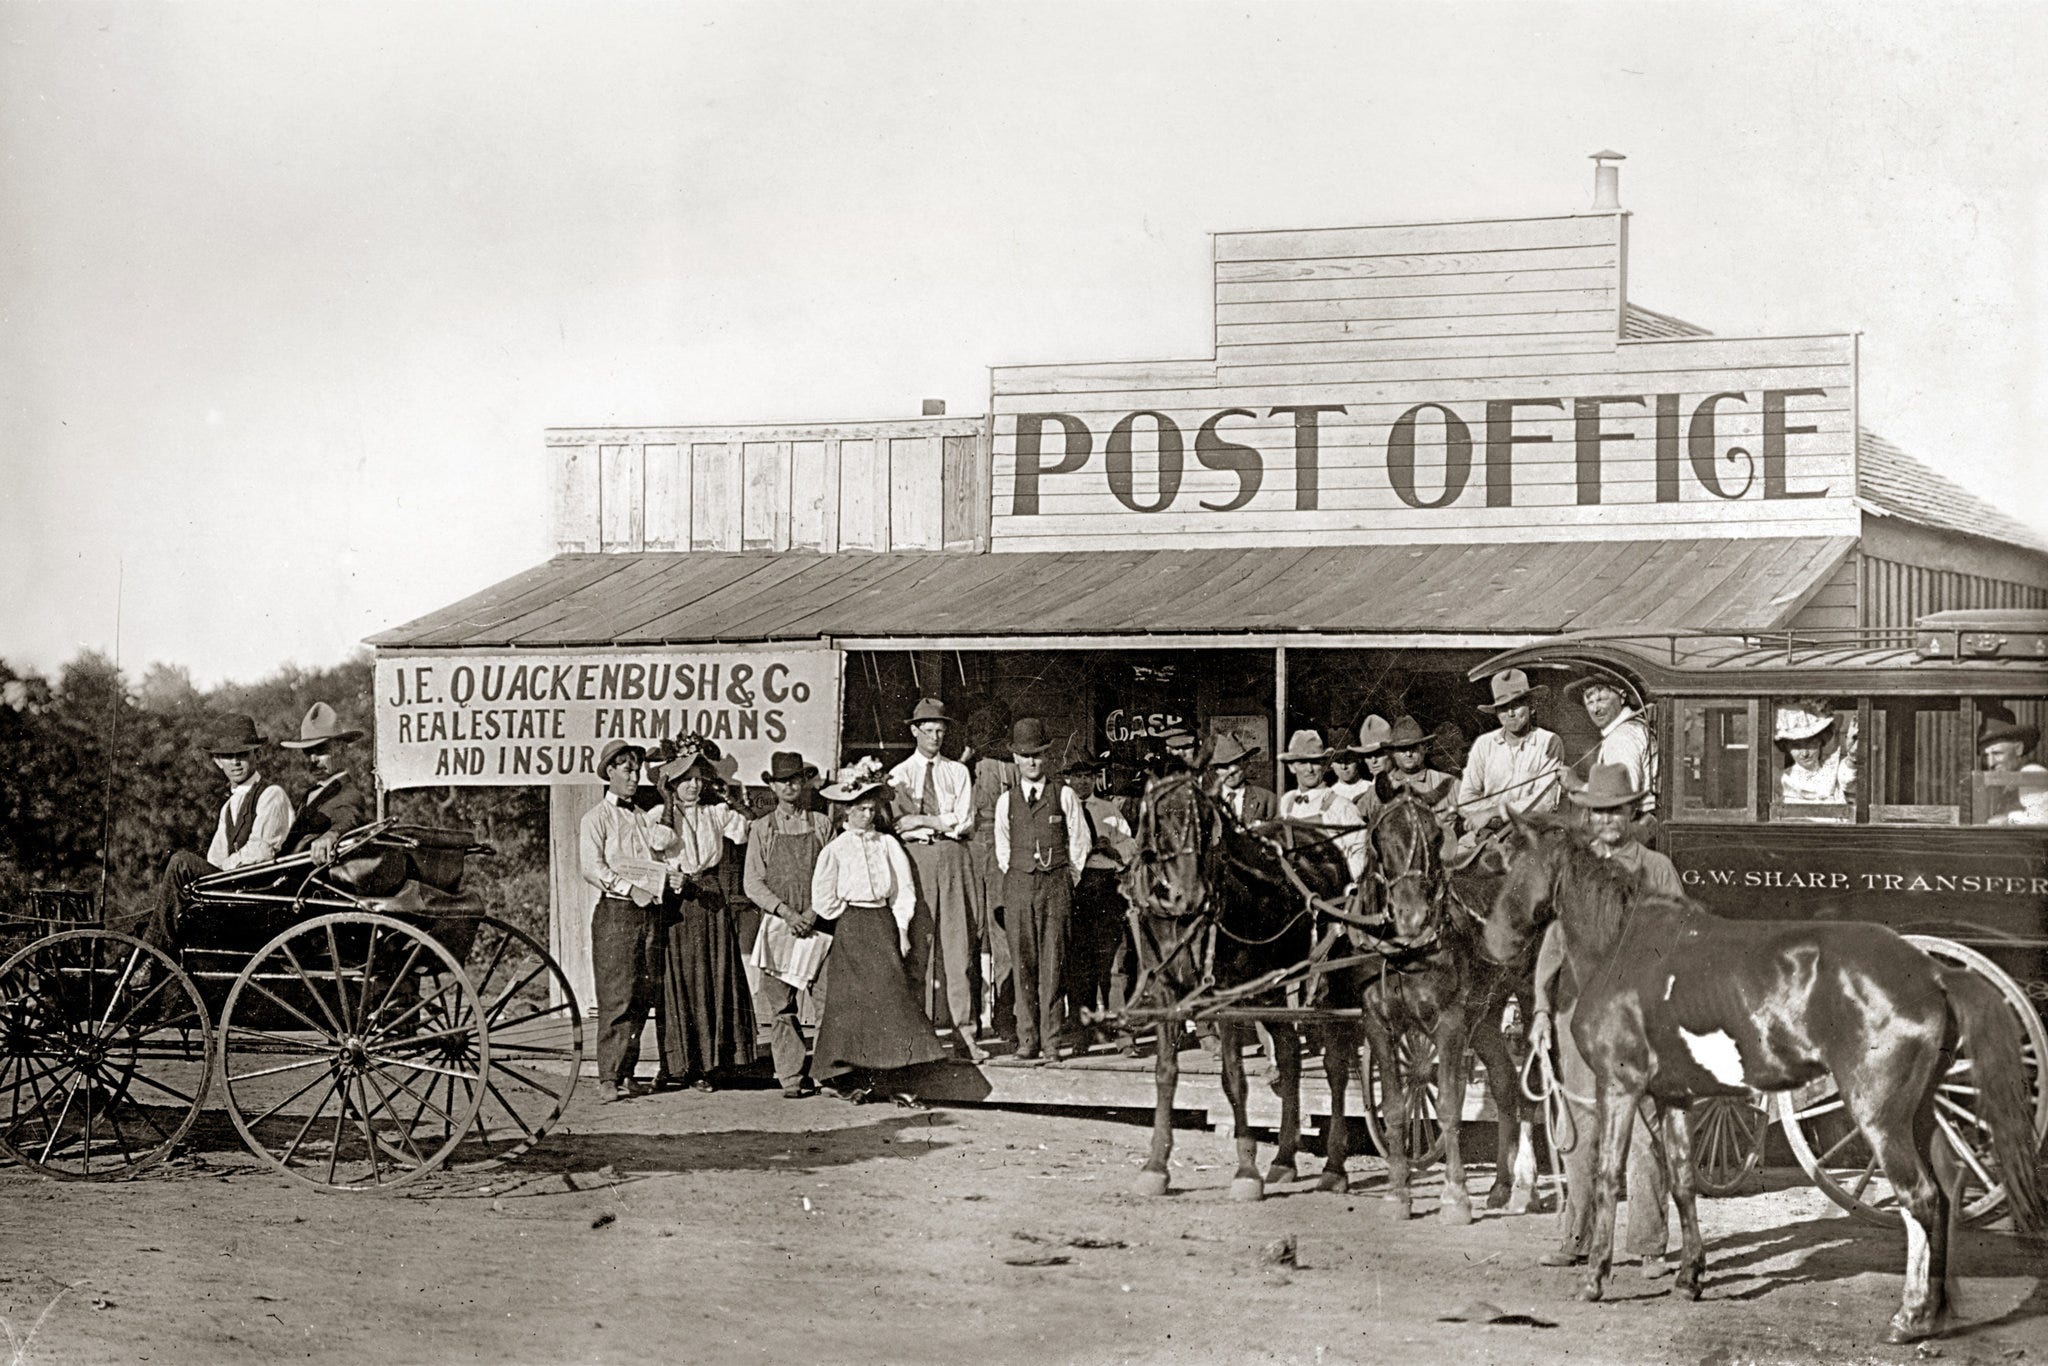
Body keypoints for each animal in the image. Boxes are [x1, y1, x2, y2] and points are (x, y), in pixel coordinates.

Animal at [1122, 769, 1364, 1201]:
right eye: (1161, 818)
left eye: (1208, 822)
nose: (1191, 894)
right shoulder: (1167, 992)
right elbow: (1165, 1073)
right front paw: (1155, 1166)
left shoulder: (1226, 996)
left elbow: (1233, 1078)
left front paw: (1246, 1170)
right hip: (1270, 987)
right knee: (1289, 1054)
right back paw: (1283, 1160)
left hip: (1326, 983)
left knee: (1335, 1064)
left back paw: (1334, 1168)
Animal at [1357, 793, 1541, 1223]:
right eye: (1381, 836)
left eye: (1437, 836)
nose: (1413, 917)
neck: (1408, 951)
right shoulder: (1377, 1024)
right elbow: (1394, 1109)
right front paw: (1397, 1192)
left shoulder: (1450, 1022)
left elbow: (1446, 1107)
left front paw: (1455, 1196)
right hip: (1487, 1013)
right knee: (1505, 1083)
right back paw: (1501, 1185)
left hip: (1529, 997)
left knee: (1530, 1086)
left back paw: (1526, 1185)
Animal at [1481, 813, 2045, 1343]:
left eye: (1506, 862)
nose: (1492, 944)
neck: (1625, 947)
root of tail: (1933, 972)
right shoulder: (1674, 1098)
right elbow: (1682, 1182)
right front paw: (1689, 1278)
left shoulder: (1619, 1090)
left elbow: (1606, 1177)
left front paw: (1594, 1279)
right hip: (1924, 1114)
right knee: (1945, 1194)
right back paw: (1938, 1309)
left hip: (1879, 1119)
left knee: (1919, 1199)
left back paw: (1909, 1319)